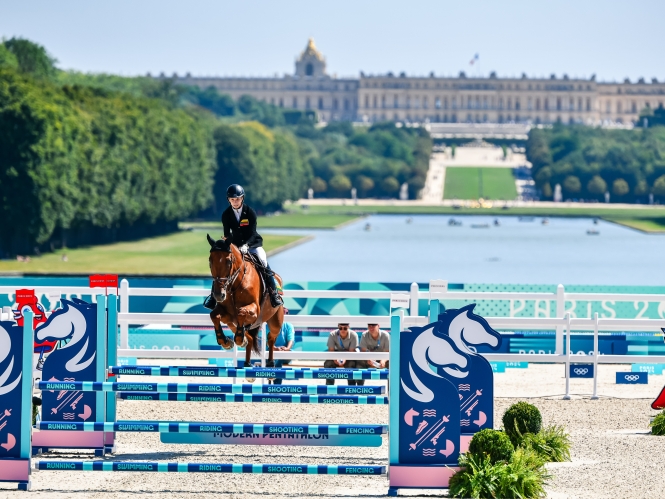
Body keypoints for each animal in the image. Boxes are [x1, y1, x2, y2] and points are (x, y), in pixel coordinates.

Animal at [207, 234, 284, 368]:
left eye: (229, 261)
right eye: (210, 261)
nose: (218, 295)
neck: (234, 285)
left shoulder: (255, 310)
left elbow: (241, 312)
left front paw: (239, 339)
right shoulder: (225, 312)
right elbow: (214, 315)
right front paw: (226, 342)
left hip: (276, 321)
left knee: (271, 338)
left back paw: (270, 363)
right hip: (232, 322)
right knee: (250, 338)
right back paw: (247, 361)